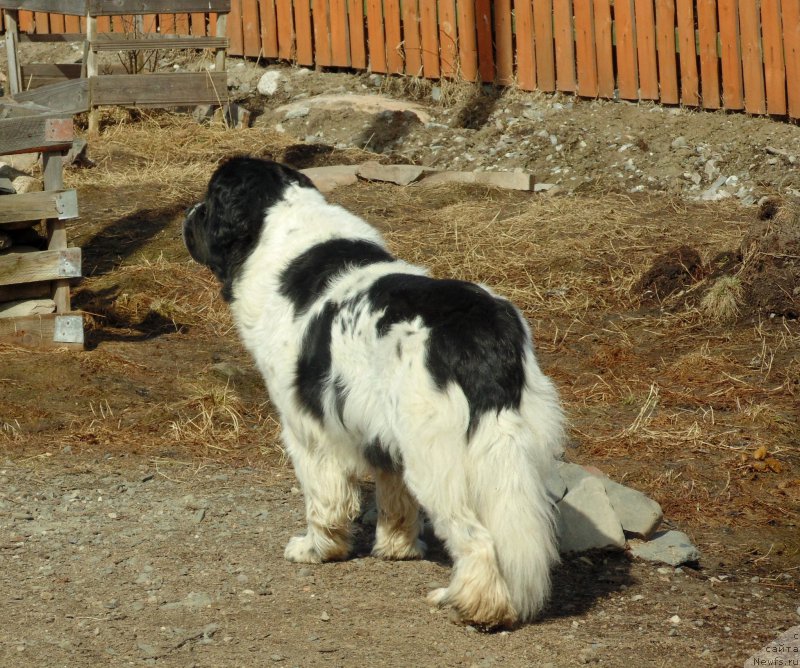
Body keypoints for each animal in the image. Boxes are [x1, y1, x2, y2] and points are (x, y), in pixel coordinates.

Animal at [185, 157, 564, 628]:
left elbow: (324, 498)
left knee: (477, 538)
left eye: (208, 200)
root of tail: (482, 330)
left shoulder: (306, 427)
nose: (187, 216)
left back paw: (474, 606)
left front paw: (315, 550)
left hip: (436, 457)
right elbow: (393, 495)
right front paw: (397, 548)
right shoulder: (382, 431)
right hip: (514, 447)